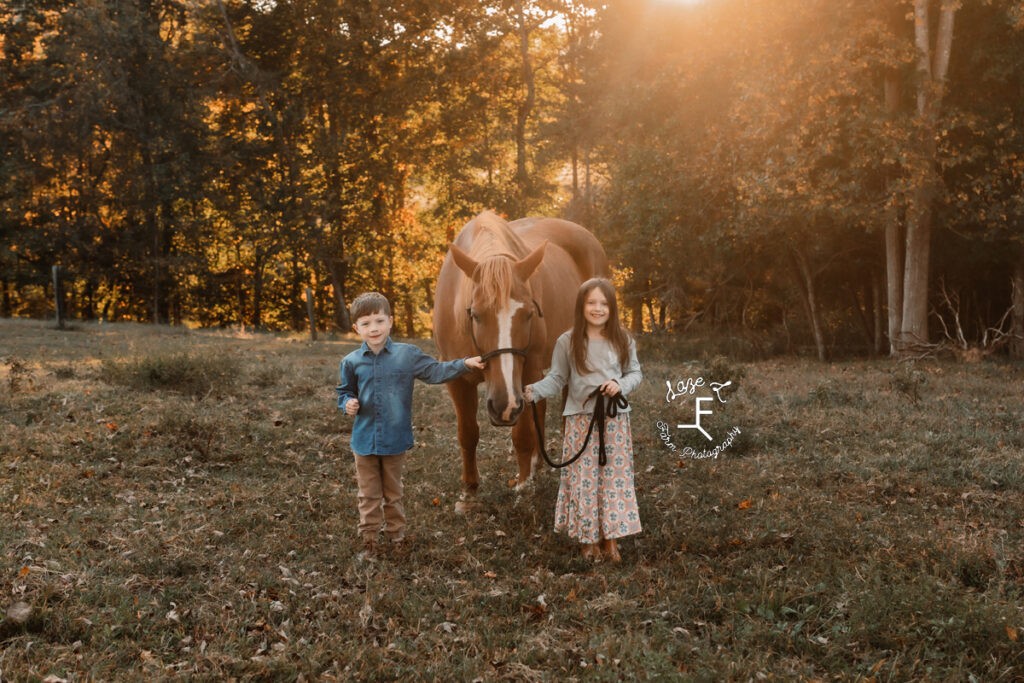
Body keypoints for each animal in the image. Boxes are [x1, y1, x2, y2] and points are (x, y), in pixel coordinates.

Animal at [432, 210, 606, 509]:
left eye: (528, 314)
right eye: (475, 314)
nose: (505, 407)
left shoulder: (528, 369)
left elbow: (522, 433)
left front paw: (524, 486)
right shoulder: (457, 381)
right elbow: (467, 434)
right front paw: (469, 493)